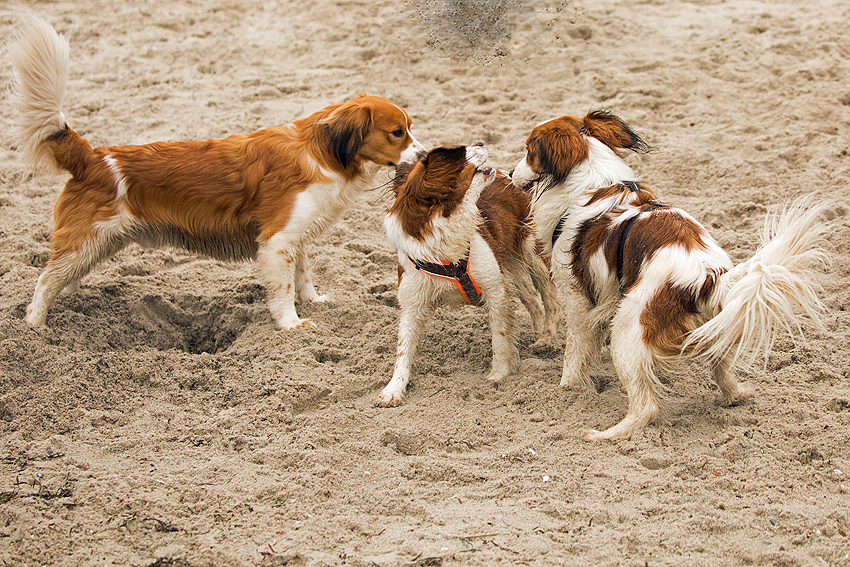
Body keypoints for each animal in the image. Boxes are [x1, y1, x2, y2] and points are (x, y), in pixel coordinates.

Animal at [8, 11, 424, 330]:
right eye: (397, 133)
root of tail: (93, 156)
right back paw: (35, 326)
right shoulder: (276, 240)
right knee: (44, 280)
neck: (321, 151)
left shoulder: (296, 237)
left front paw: (315, 301)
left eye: (410, 126)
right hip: (85, 240)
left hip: (99, 243)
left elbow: (303, 275)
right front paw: (291, 324)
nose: (423, 156)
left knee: (63, 278)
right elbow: (284, 289)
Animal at [374, 144, 560, 406]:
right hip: (511, 264)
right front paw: (393, 389)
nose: (481, 143)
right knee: (533, 300)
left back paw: (546, 339)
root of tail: (509, 176)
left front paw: (499, 373)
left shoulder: (495, 288)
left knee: (550, 299)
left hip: (532, 251)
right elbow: (403, 348)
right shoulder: (412, 304)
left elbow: (500, 336)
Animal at [506, 108, 824, 442]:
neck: (594, 185)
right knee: (722, 367)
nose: (510, 172)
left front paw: (566, 390)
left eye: (529, 150)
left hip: (628, 329)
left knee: (646, 407)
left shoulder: (577, 298)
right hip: (710, 326)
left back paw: (604, 435)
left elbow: (574, 354)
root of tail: (707, 278)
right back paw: (736, 395)